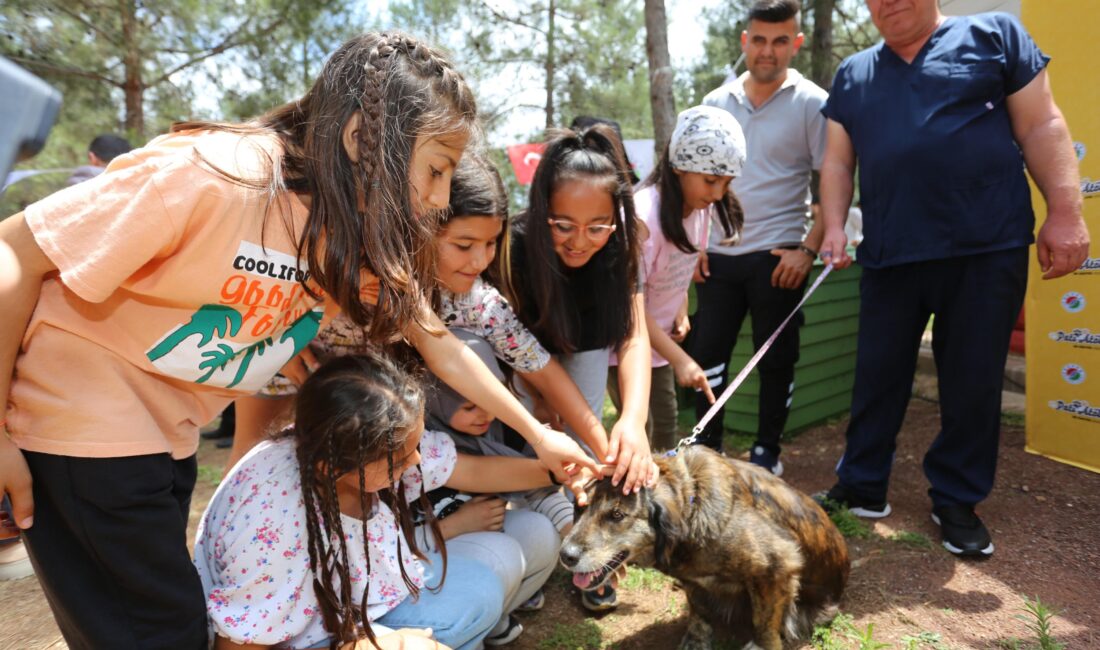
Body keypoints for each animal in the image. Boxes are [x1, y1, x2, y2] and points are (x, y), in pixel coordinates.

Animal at [558, 444, 849, 646]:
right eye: (580, 507)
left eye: (617, 515)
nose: (565, 556)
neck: (692, 504)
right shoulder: (695, 582)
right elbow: (699, 612)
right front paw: (696, 641)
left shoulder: (778, 565)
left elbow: (765, 623)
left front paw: (761, 644)